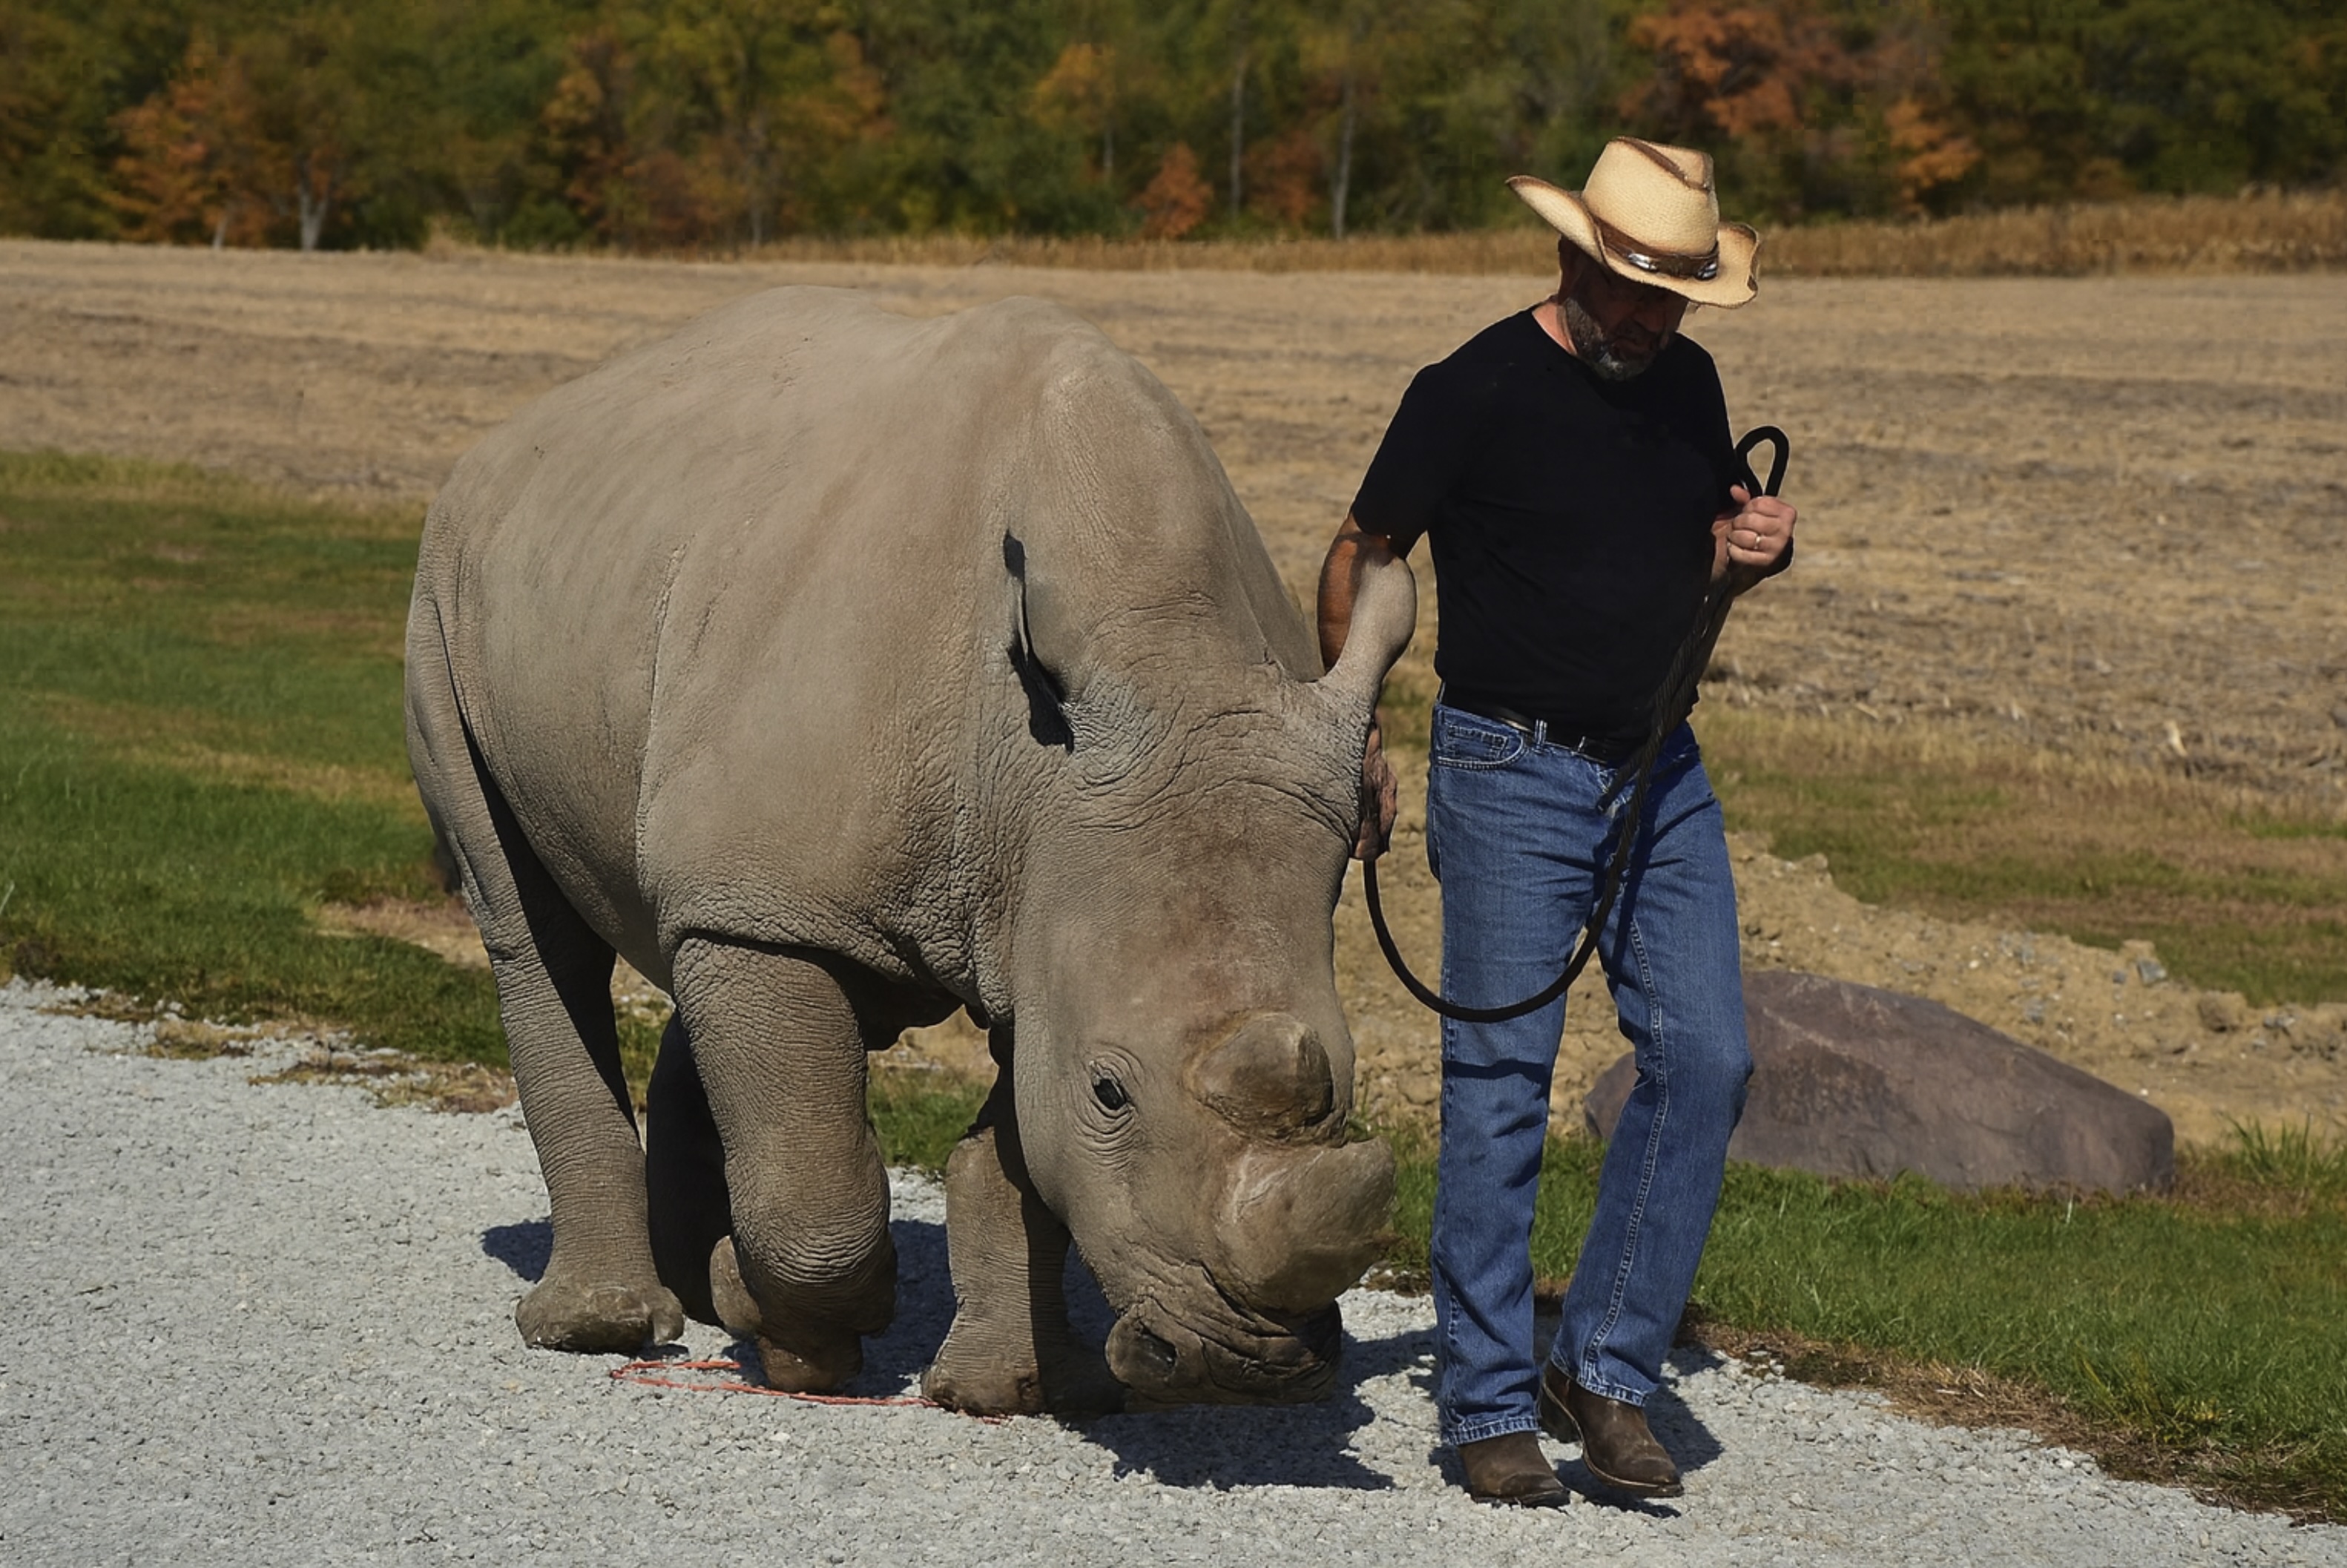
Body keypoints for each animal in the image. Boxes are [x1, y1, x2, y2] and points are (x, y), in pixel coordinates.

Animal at [404, 286, 1416, 1414]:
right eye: (1109, 1092)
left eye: (1349, 1086)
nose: (1246, 1363)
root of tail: (515, 434)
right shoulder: (874, 887)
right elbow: (820, 1188)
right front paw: (802, 1350)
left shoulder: (1039, 899)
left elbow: (1012, 1154)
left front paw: (1005, 1390)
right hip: (446, 592)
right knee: (535, 932)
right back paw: (606, 1323)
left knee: (702, 948)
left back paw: (702, 1285)